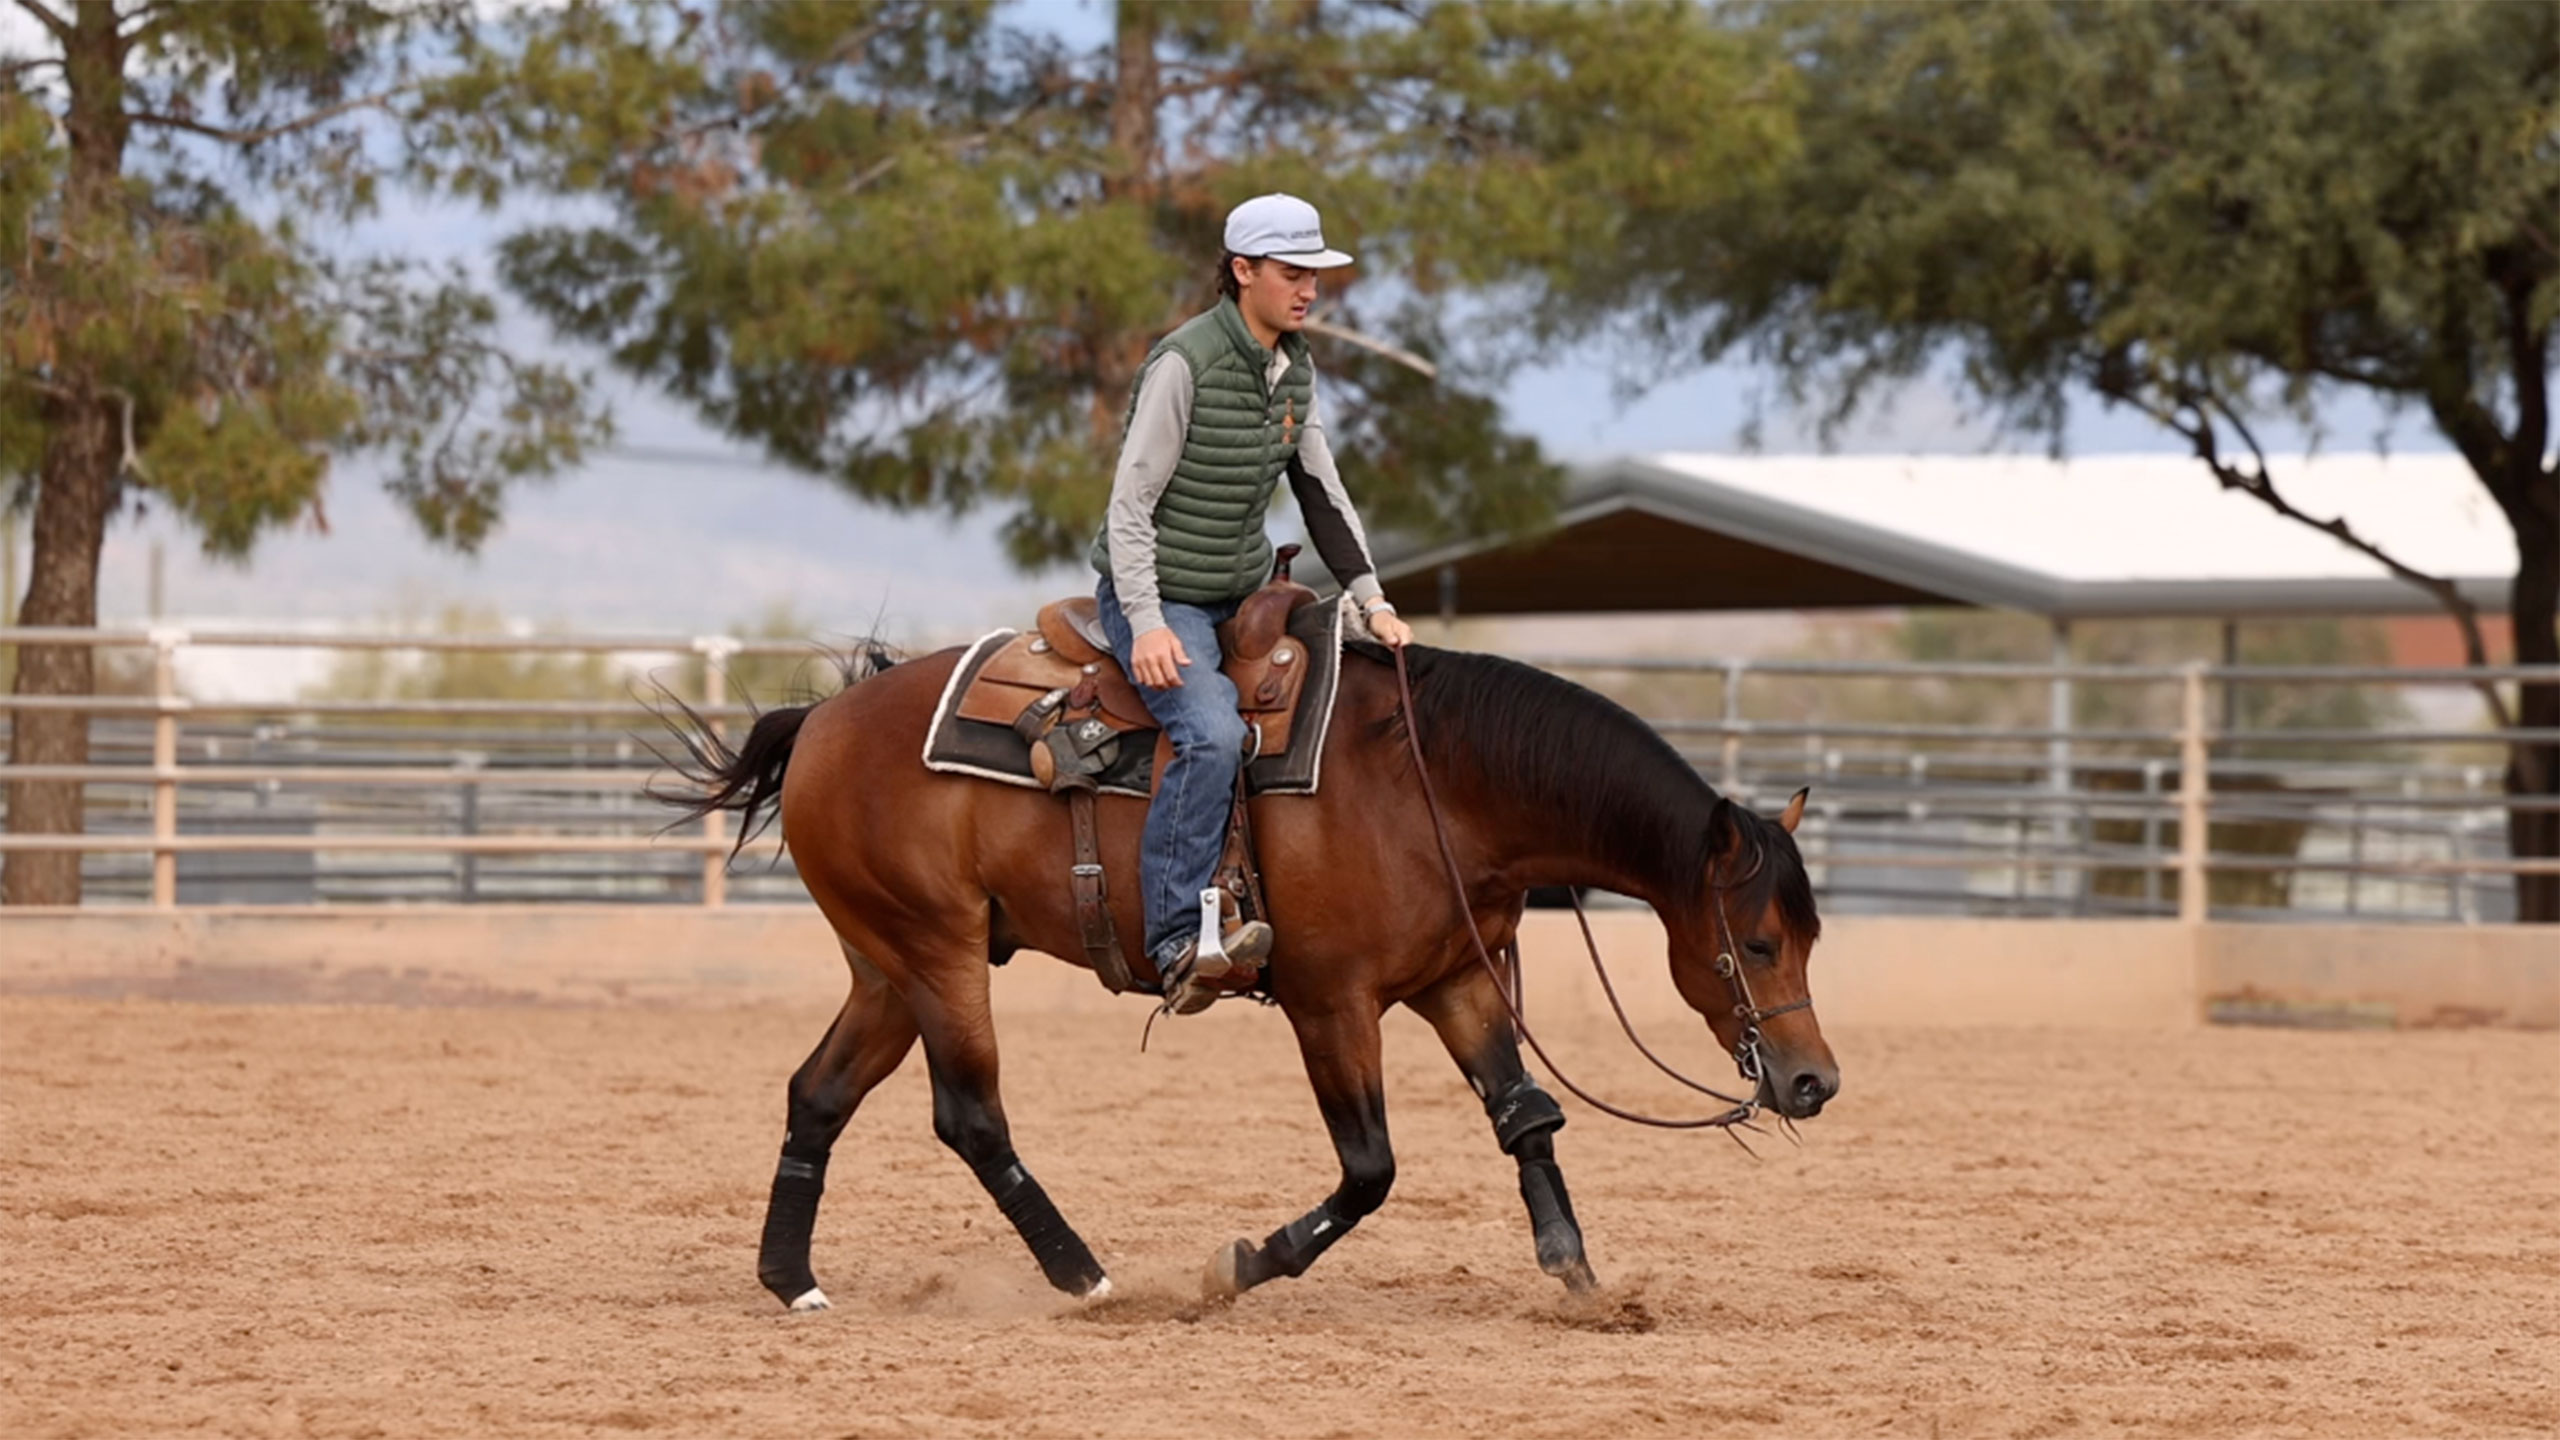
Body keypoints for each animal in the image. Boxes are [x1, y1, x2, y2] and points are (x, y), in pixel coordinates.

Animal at [662, 637, 1838, 1309]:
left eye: (1812, 936)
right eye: (1759, 942)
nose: (1812, 1081)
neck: (1433, 783)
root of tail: (820, 719)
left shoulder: (1457, 980)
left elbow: (1526, 1119)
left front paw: (1581, 1278)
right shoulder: (1331, 1003)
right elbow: (1369, 1169)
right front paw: (1241, 1265)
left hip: (886, 966)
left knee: (817, 1094)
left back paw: (792, 1282)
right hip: (936, 953)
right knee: (971, 1117)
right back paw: (1085, 1277)